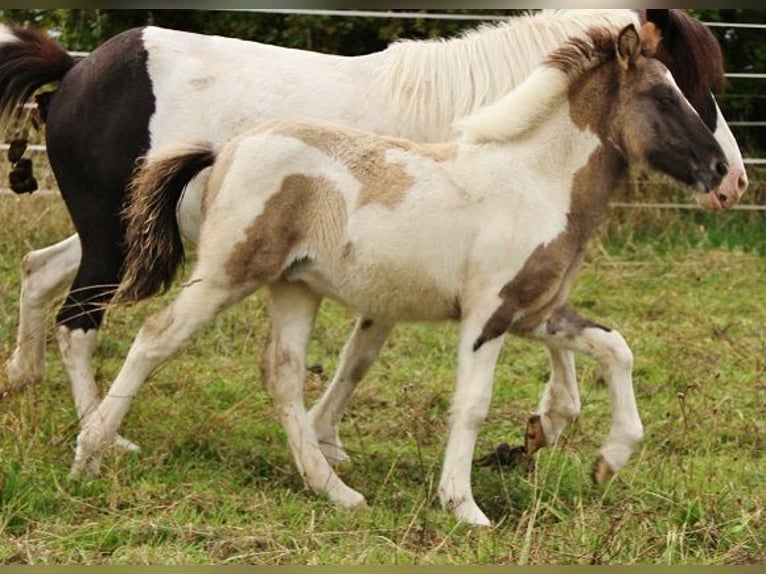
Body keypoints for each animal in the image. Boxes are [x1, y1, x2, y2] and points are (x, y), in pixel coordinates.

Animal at [0, 10, 748, 462]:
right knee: (79, 321)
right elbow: (366, 355)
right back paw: (100, 438)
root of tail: (76, 66)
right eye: (683, 87)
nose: (732, 180)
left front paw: (548, 422)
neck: (484, 127)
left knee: (40, 272)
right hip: (119, 238)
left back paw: (26, 381)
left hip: (125, 234)